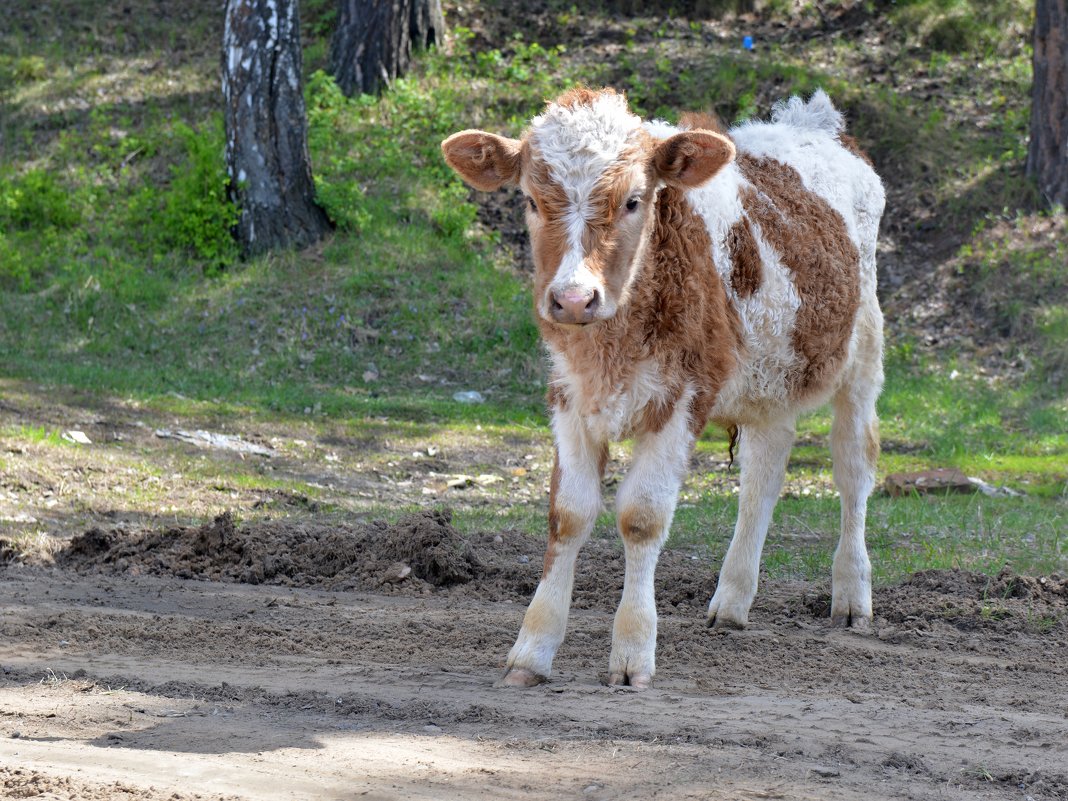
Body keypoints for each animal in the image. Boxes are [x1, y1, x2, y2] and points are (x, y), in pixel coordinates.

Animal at [440, 87, 884, 692]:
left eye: (633, 200)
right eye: (530, 199)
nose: (573, 299)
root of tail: (812, 120)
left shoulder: (684, 396)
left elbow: (642, 515)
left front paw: (632, 653)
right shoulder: (569, 396)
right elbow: (569, 513)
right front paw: (532, 651)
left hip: (862, 355)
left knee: (853, 468)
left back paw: (852, 595)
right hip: (770, 379)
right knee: (763, 475)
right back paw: (732, 601)